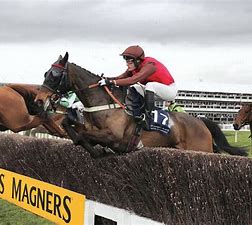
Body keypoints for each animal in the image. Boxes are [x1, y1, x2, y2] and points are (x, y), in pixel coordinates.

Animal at [34, 52, 248, 158]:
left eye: (54, 75)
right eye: (45, 73)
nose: (39, 100)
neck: (105, 105)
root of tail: (201, 122)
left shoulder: (115, 137)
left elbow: (83, 136)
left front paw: (98, 152)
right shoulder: (91, 129)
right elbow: (71, 128)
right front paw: (96, 150)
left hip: (199, 148)